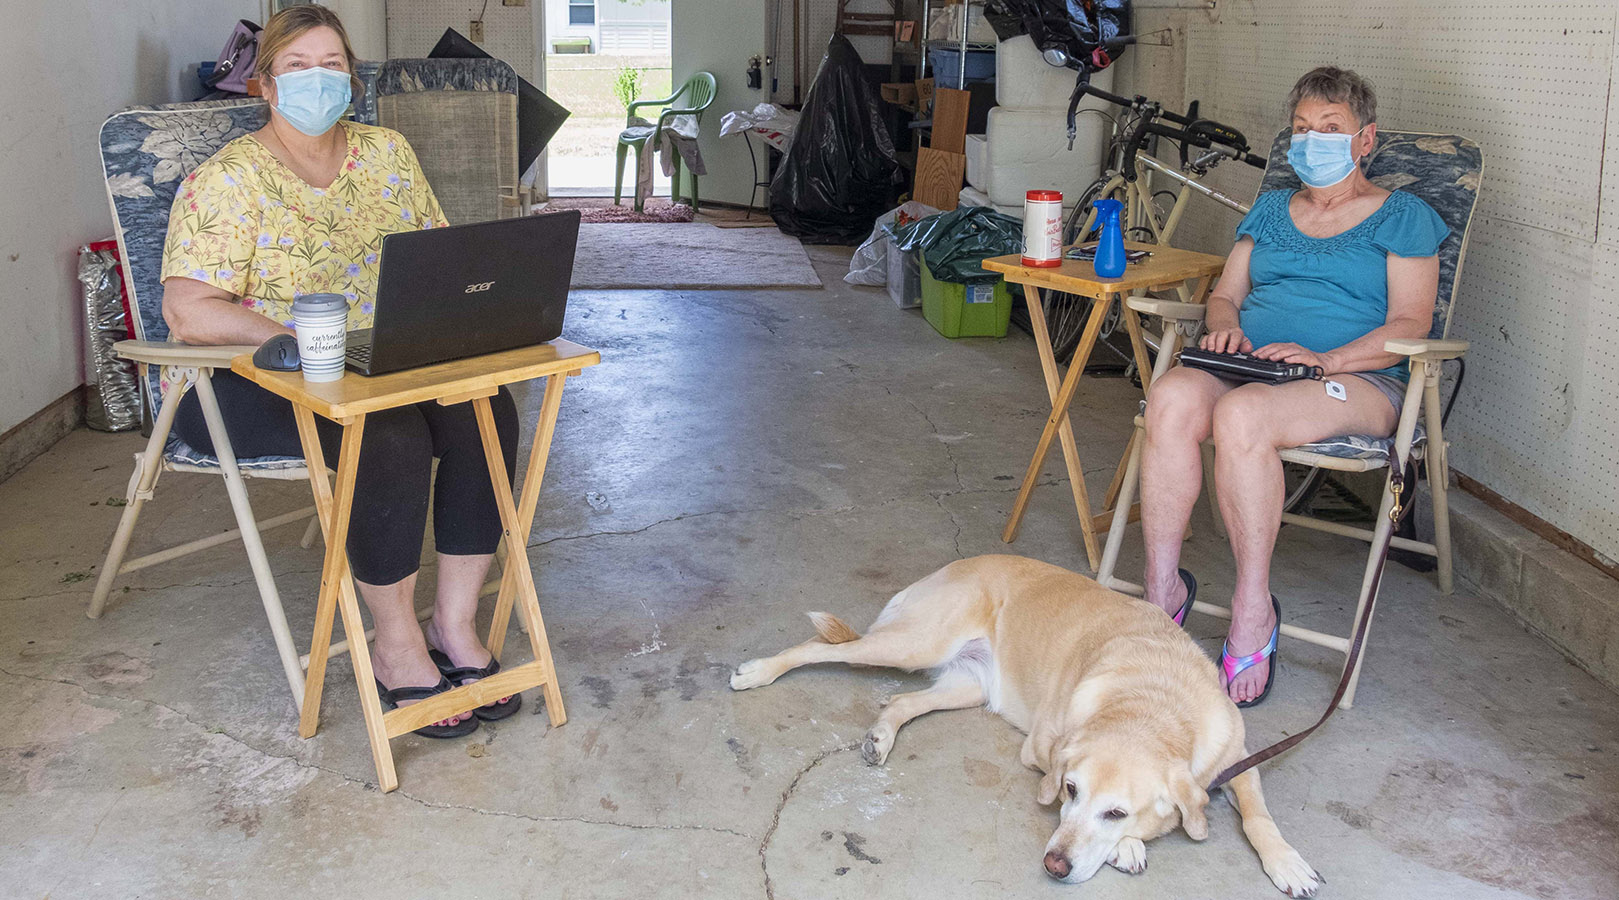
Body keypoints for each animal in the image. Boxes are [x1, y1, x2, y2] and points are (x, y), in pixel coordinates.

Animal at [728, 556, 1321, 893]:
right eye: (1070, 791)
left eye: (1115, 811)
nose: (1054, 865)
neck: (1152, 700)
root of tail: (956, 563)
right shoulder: (1041, 748)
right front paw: (1129, 848)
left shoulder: (1240, 759)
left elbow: (1259, 817)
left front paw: (1288, 864)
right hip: (911, 644)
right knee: (822, 647)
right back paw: (757, 671)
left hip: (965, 686)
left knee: (900, 702)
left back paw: (880, 738)